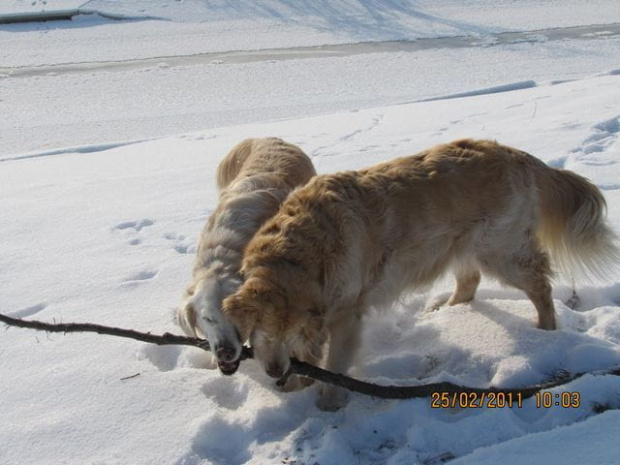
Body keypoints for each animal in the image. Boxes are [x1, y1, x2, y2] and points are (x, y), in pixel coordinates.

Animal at [224, 139, 620, 410]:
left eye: (285, 333)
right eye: (262, 331)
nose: (274, 373)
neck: (304, 247)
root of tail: (517, 154)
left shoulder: (346, 315)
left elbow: (335, 362)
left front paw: (329, 401)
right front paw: (299, 384)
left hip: (501, 250)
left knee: (540, 284)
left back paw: (546, 330)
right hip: (463, 245)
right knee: (470, 282)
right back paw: (447, 310)